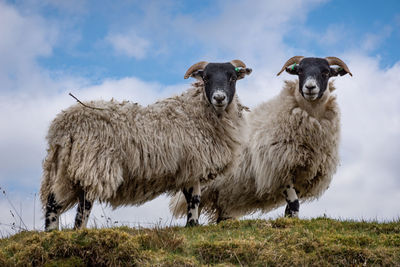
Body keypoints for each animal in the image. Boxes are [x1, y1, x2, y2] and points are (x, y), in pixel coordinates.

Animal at [41, 59, 253, 231]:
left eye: (232, 77)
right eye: (206, 78)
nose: (219, 98)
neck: (195, 112)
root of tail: (63, 125)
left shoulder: (187, 168)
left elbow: (191, 198)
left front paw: (191, 225)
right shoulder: (193, 164)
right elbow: (194, 199)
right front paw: (192, 224)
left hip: (64, 169)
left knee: (53, 202)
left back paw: (51, 232)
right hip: (93, 165)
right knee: (83, 206)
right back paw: (78, 231)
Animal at [170, 56, 352, 222]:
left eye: (326, 72)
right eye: (300, 71)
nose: (310, 87)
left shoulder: (302, 173)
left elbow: (292, 205)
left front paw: (290, 220)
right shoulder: (278, 168)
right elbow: (294, 202)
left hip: (225, 194)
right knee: (192, 203)